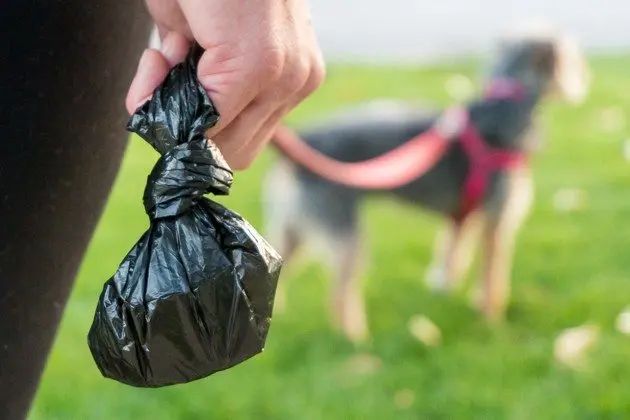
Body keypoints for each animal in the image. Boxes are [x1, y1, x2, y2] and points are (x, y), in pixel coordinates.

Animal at [266, 25, 592, 342]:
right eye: (573, 57)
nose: (585, 75)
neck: (504, 107)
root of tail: (304, 141)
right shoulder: (496, 219)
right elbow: (493, 276)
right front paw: (492, 319)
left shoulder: (463, 217)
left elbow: (453, 254)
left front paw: (448, 288)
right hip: (344, 231)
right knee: (339, 294)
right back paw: (355, 338)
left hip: (293, 227)